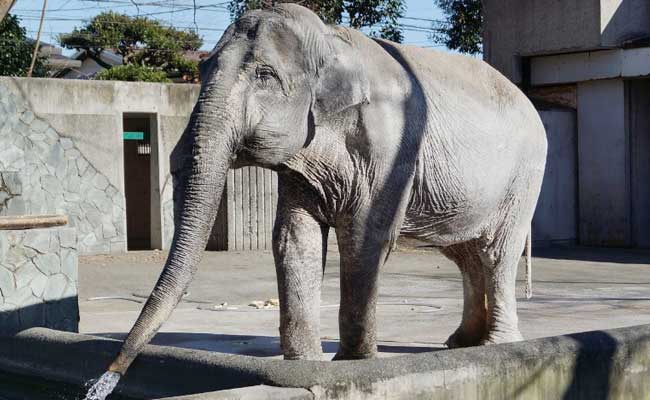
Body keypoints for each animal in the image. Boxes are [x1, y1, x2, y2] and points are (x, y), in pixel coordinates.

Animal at [106, 3, 547, 375]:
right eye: (202, 71)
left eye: (265, 75)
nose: (112, 371)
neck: (331, 38)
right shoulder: (301, 162)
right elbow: (293, 237)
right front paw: (307, 364)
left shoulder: (391, 144)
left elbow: (365, 236)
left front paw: (353, 362)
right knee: (464, 254)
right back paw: (460, 343)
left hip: (524, 177)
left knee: (496, 253)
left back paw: (496, 344)